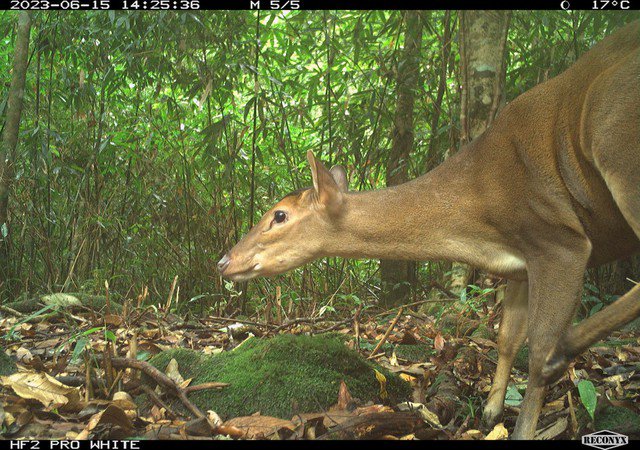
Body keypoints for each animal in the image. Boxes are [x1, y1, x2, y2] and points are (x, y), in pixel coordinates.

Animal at [218, 21, 636, 440]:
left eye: (279, 215)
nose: (224, 261)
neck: (478, 214)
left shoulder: (559, 239)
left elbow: (537, 348)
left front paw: (523, 426)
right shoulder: (522, 264)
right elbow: (506, 338)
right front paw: (490, 412)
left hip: (615, 138)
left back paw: (565, 348)